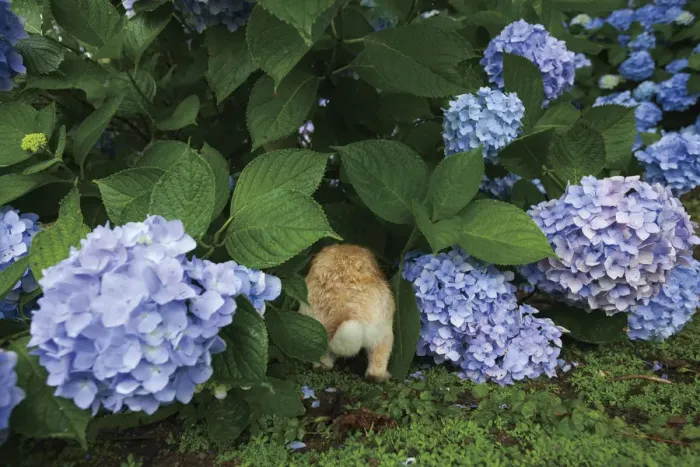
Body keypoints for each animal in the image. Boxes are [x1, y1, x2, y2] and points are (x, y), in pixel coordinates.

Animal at [298, 244, 395, 383]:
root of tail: (341, 311)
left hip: (315, 332)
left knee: (323, 361)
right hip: (384, 332)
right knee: (376, 365)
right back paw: (382, 377)